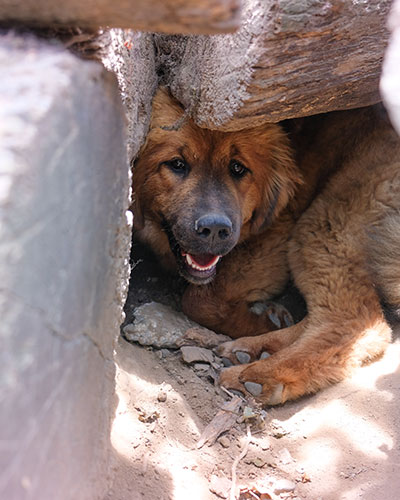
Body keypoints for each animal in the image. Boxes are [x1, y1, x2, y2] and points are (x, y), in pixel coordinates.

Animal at [134, 87, 400, 406]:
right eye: (176, 164)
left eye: (238, 168)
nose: (215, 230)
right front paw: (269, 319)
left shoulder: (275, 236)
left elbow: (200, 300)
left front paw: (260, 321)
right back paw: (257, 346)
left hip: (322, 220)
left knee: (358, 322)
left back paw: (259, 375)